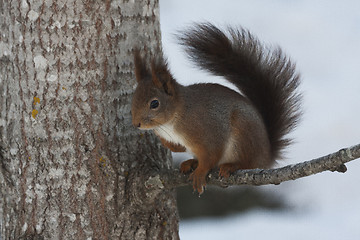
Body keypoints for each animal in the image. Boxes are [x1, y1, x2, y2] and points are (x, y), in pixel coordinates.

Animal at [131, 22, 300, 194]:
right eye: (134, 97)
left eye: (154, 104)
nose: (136, 124)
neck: (173, 120)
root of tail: (267, 155)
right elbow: (178, 148)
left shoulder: (208, 132)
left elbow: (211, 155)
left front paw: (200, 173)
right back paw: (191, 162)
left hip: (243, 132)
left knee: (248, 163)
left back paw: (231, 166)